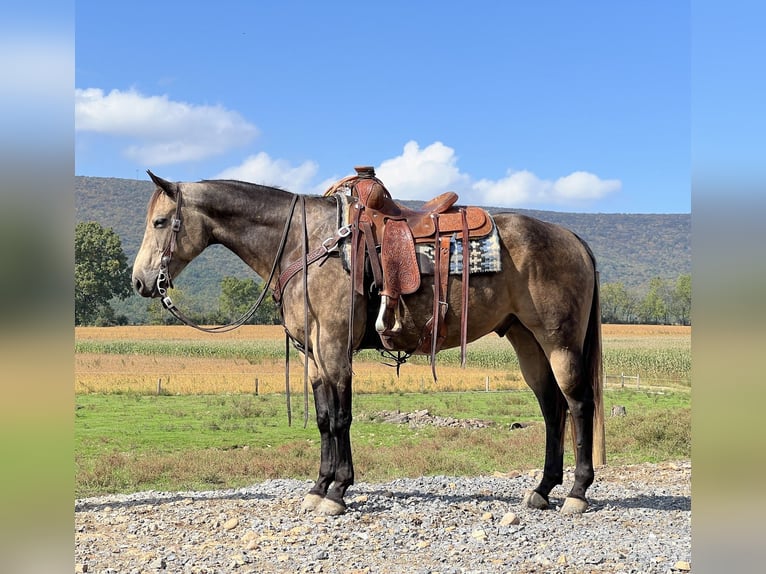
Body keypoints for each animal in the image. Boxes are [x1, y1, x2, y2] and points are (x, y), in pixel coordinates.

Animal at [135, 166, 608, 516]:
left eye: (159, 222)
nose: (141, 281)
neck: (305, 243)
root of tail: (573, 239)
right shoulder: (314, 355)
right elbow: (324, 417)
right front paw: (319, 486)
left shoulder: (334, 347)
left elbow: (341, 417)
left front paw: (337, 491)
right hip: (525, 339)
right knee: (551, 407)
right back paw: (542, 489)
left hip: (559, 342)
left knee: (578, 403)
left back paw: (577, 493)